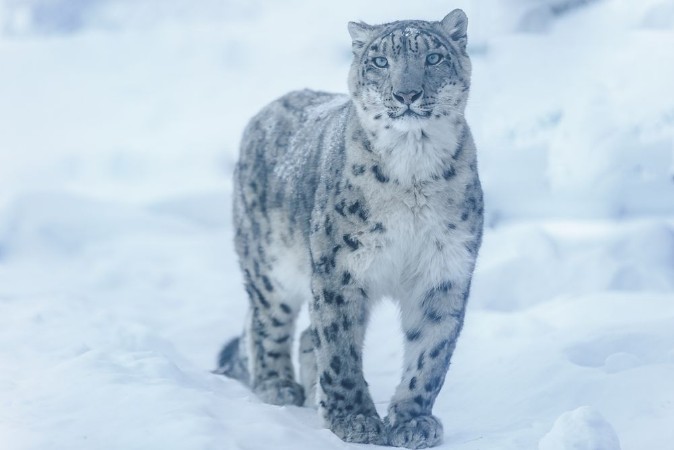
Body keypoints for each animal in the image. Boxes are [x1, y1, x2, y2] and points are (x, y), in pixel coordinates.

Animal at [215, 9, 483, 449]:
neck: (414, 169)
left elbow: (430, 353)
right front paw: (353, 419)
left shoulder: (443, 270)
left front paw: (413, 421)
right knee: (267, 321)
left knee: (306, 336)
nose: (406, 94)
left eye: (432, 58)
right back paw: (277, 386)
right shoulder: (339, 269)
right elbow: (339, 347)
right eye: (380, 61)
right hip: (269, 266)